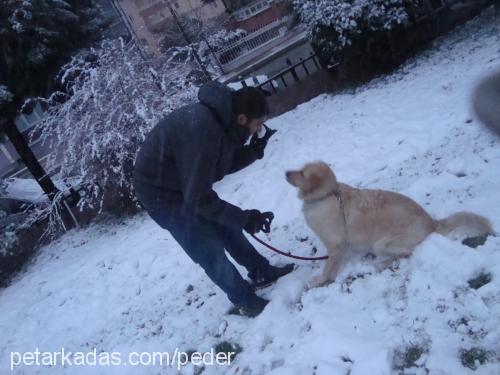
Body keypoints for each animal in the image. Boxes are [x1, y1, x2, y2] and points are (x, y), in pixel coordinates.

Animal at [286, 161, 492, 288]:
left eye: (302, 173)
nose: (285, 172)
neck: (327, 195)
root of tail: (430, 221)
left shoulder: (335, 245)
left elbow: (328, 267)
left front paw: (320, 280)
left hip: (382, 243)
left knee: (406, 253)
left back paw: (382, 263)